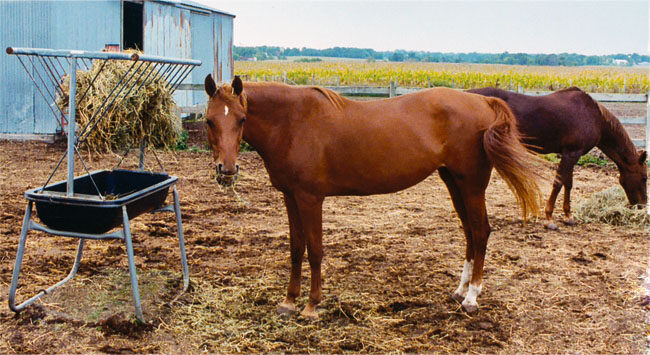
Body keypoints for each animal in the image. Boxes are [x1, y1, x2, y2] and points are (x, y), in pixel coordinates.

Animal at [205, 76, 540, 320]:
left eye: (242, 119)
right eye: (210, 120)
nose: (227, 170)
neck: (293, 123)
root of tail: (483, 100)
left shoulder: (311, 199)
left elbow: (315, 251)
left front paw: (312, 307)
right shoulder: (290, 197)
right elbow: (296, 249)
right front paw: (288, 302)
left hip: (472, 185)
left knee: (481, 231)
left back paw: (471, 297)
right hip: (454, 182)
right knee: (470, 231)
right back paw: (460, 290)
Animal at [466, 87, 644, 229]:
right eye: (644, 178)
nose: (642, 204)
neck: (594, 116)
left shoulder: (571, 154)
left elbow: (568, 184)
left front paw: (568, 216)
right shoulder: (571, 153)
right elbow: (558, 183)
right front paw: (549, 218)